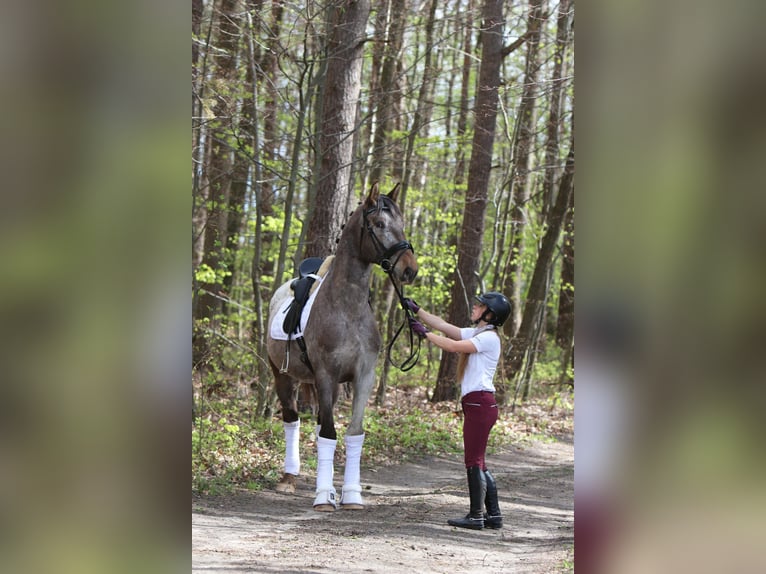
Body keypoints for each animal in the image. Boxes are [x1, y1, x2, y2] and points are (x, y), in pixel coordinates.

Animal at [268, 183, 416, 512]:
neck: (347, 308)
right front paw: (324, 496)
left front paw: (350, 494)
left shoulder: (363, 378)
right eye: (379, 224)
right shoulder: (325, 376)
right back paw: (288, 478)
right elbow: (328, 432)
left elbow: (352, 433)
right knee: (292, 419)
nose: (410, 270)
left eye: (402, 223)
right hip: (283, 376)